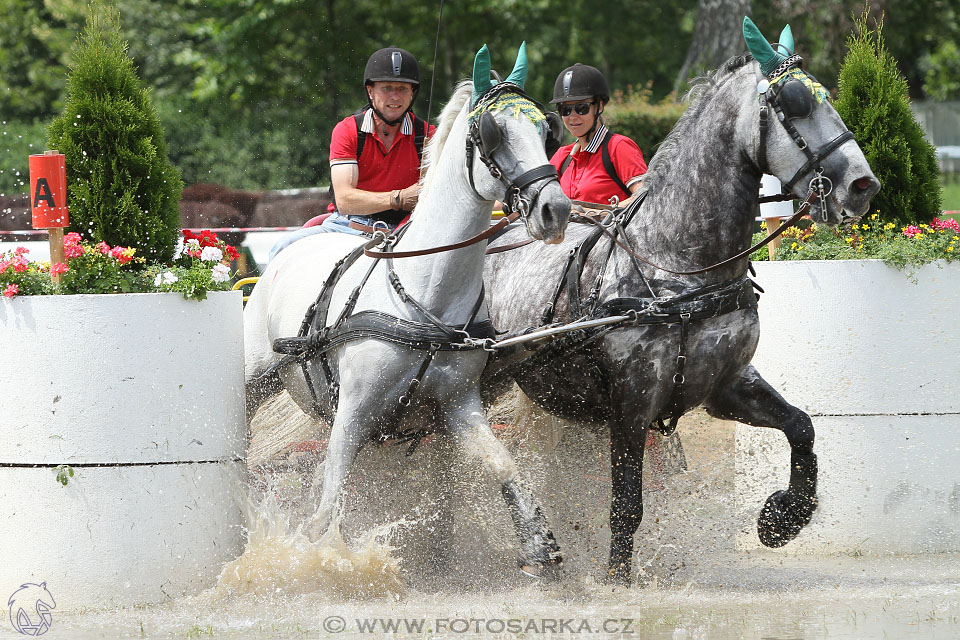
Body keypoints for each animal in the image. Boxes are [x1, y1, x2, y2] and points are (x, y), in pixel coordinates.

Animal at [244, 45, 568, 576]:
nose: (555, 210)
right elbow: (329, 503)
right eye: (492, 133)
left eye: (547, 129)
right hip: (254, 380)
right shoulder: (352, 413)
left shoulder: (458, 405)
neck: (426, 293)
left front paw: (540, 546)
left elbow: (503, 464)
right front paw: (314, 565)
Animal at [484, 20, 880, 584]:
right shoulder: (631, 401)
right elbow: (626, 503)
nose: (862, 185)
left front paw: (781, 518)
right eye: (795, 104)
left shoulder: (724, 384)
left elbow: (801, 426)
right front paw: (617, 579)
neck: (675, 267)